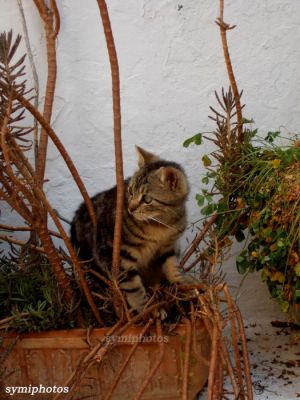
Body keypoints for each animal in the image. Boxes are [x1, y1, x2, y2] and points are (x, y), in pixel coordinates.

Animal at [71, 145, 190, 314]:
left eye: (147, 199)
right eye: (131, 191)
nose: (130, 208)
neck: (159, 224)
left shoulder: (168, 246)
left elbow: (171, 265)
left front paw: (180, 282)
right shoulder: (117, 255)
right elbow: (133, 287)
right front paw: (146, 308)